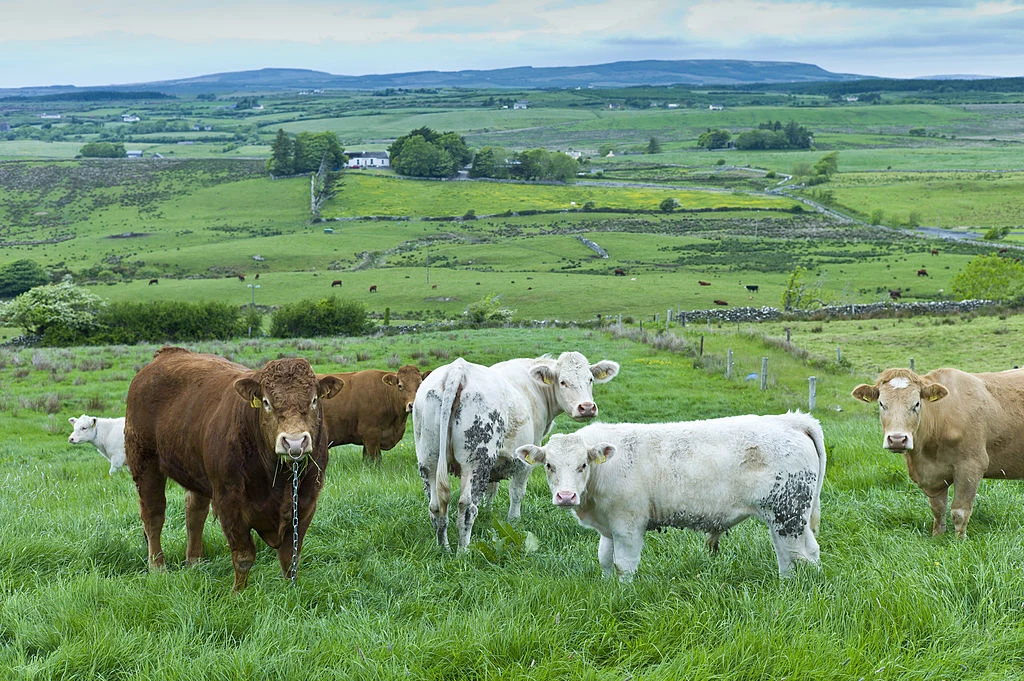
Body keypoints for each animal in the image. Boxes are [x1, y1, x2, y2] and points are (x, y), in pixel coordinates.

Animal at [124, 346, 346, 589]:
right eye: (266, 402)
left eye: (314, 400)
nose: (295, 442)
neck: (280, 478)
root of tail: (165, 355)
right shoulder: (229, 504)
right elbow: (243, 557)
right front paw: (238, 592)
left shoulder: (306, 503)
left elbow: (290, 557)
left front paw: (291, 590)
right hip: (144, 462)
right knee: (153, 515)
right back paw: (158, 567)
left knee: (194, 512)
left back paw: (194, 562)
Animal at [413, 350, 618, 548]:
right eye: (563, 382)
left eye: (590, 379)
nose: (587, 407)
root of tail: (458, 369)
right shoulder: (525, 460)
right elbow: (517, 492)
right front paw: (514, 521)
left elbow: (491, 490)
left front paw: (489, 512)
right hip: (477, 460)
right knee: (467, 508)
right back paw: (463, 552)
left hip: (429, 460)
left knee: (436, 507)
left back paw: (444, 548)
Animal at [516, 409, 827, 577]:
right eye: (549, 465)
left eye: (582, 465)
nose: (566, 496)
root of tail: (791, 421)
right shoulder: (608, 527)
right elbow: (605, 559)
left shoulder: (629, 524)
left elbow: (624, 564)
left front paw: (624, 594)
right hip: (783, 518)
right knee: (787, 555)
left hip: (789, 513)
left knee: (805, 553)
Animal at [851, 368, 1024, 540]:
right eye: (882, 404)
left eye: (917, 404)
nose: (897, 439)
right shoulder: (934, 475)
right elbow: (938, 509)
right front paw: (938, 537)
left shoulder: (971, 466)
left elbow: (960, 512)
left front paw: (959, 541)